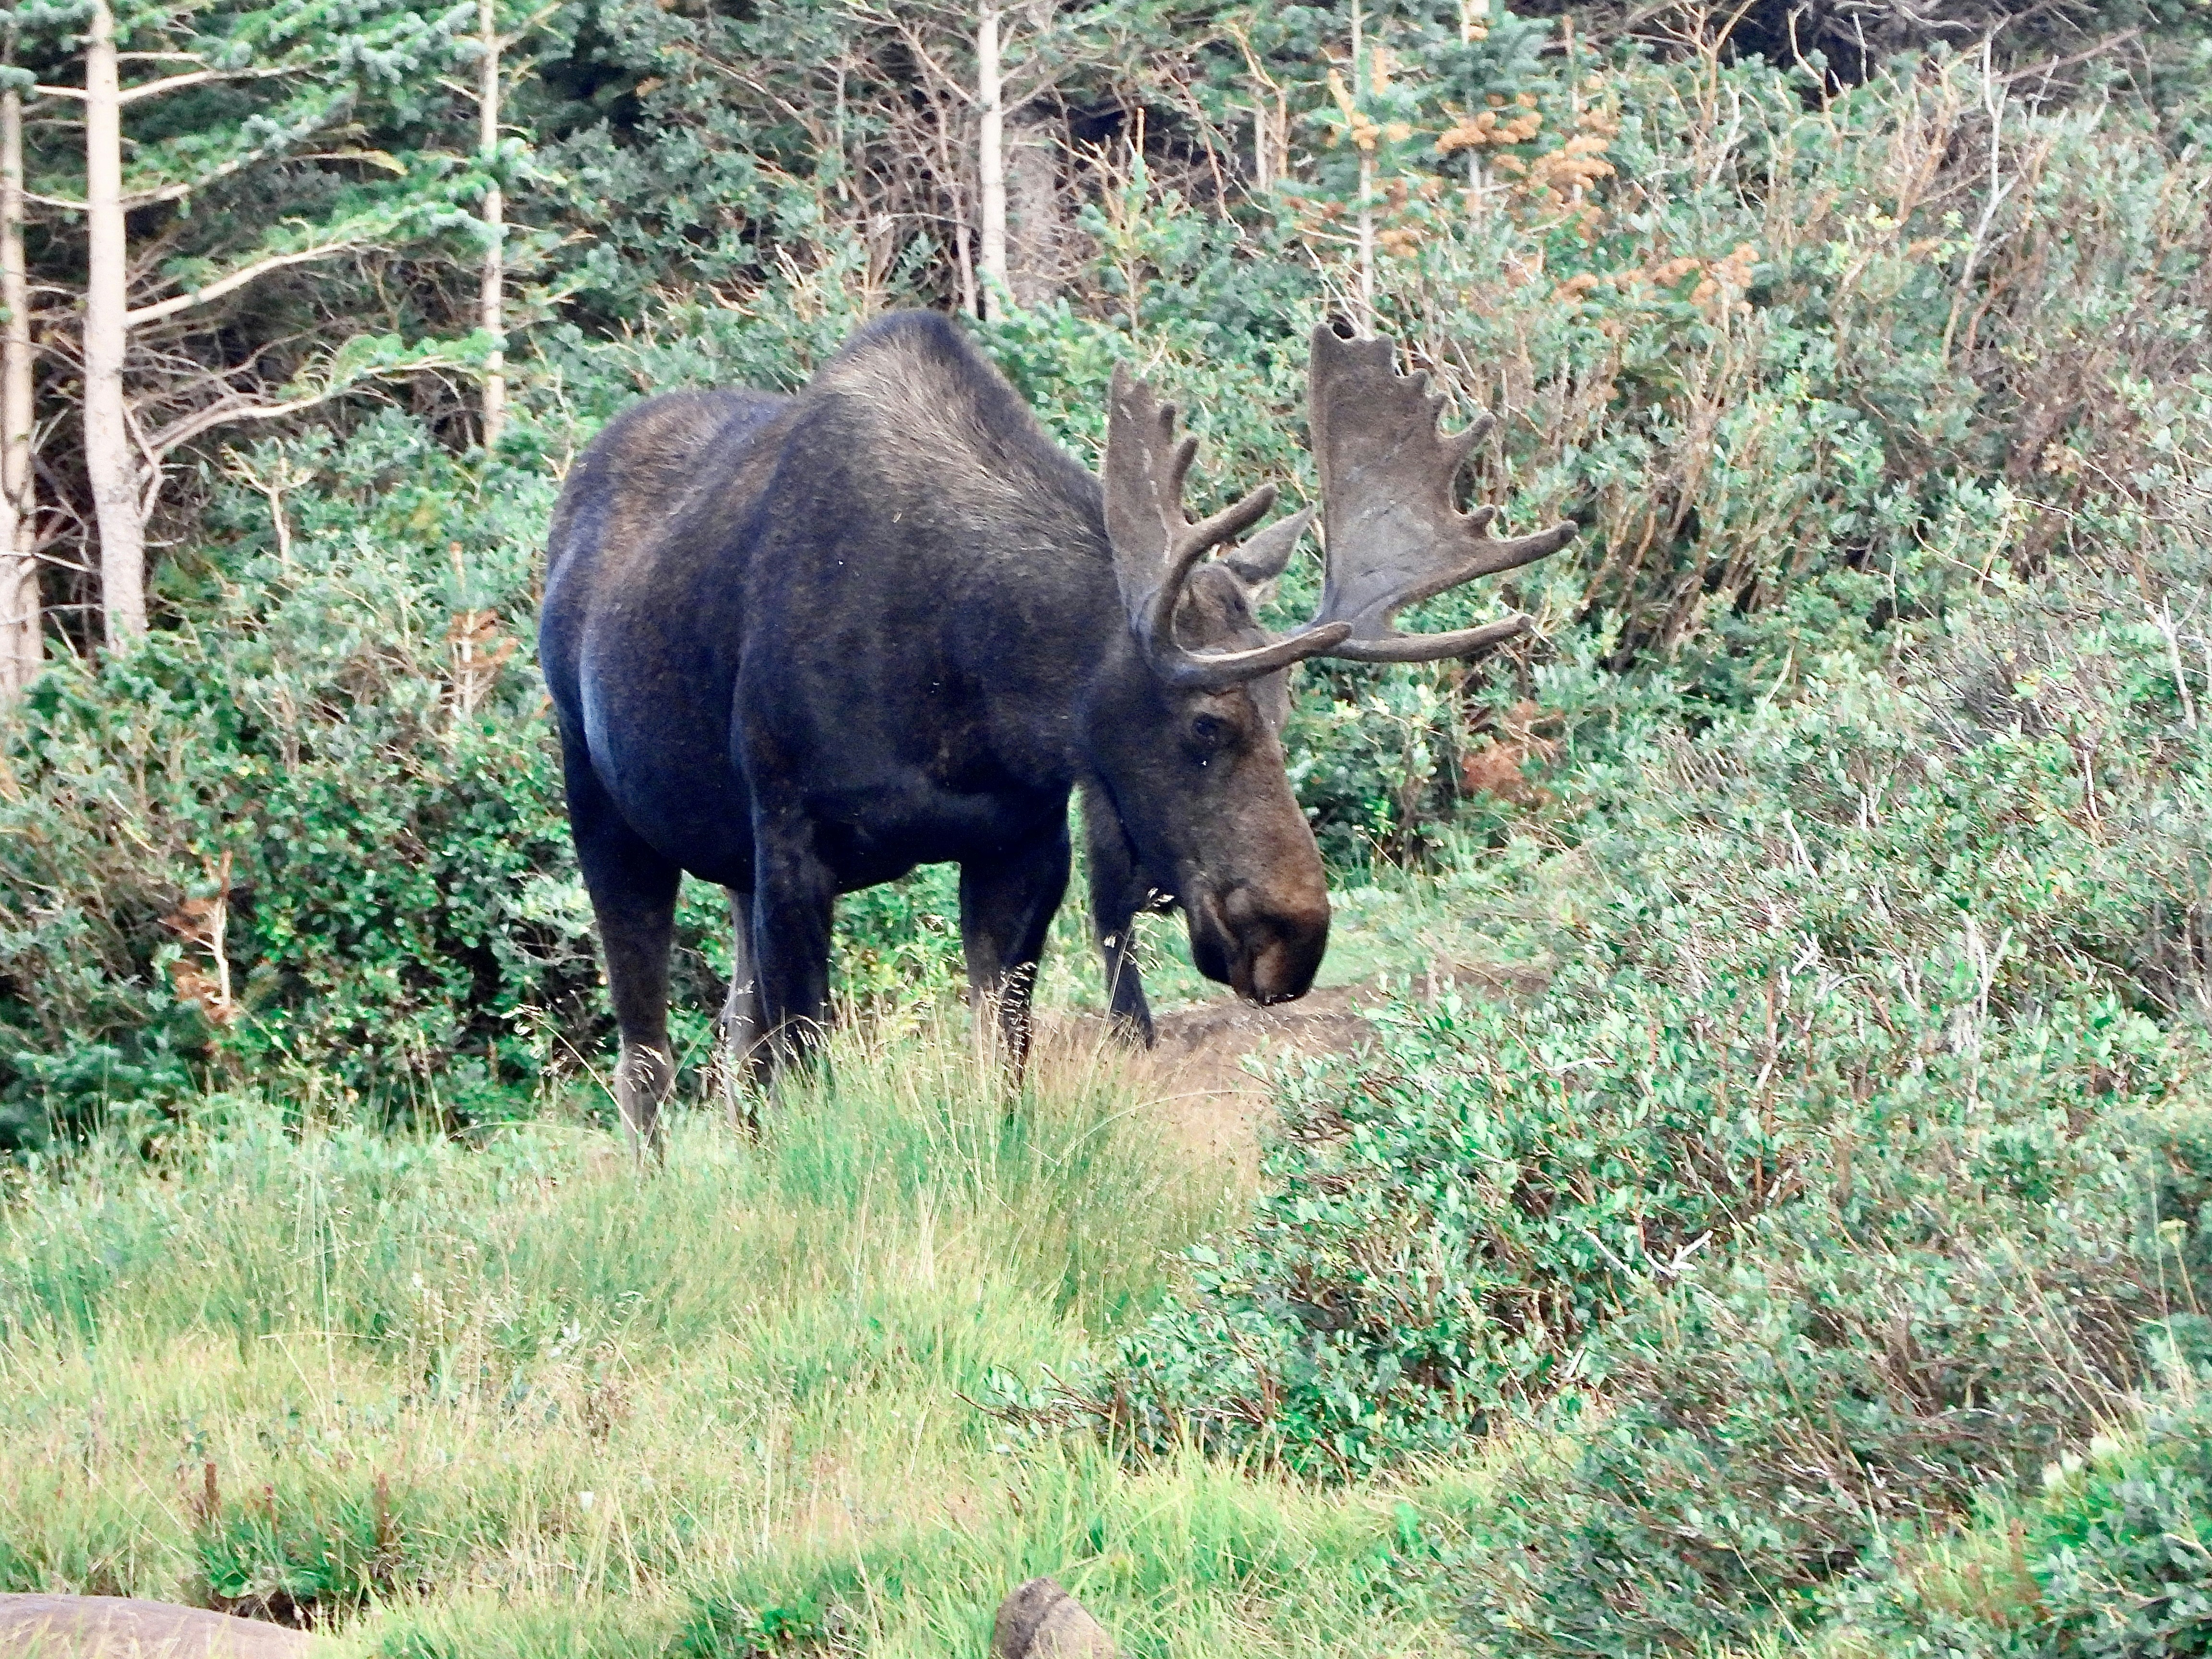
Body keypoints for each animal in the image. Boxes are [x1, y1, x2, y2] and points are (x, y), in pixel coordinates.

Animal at [540, 314, 1574, 1146]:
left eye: (1286, 709)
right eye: (1205, 725)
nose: (1294, 936)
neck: (970, 677)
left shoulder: (1020, 843)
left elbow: (1000, 1063)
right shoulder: (795, 842)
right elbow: (801, 1067)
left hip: (731, 869)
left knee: (728, 1046)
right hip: (607, 812)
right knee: (648, 1060)